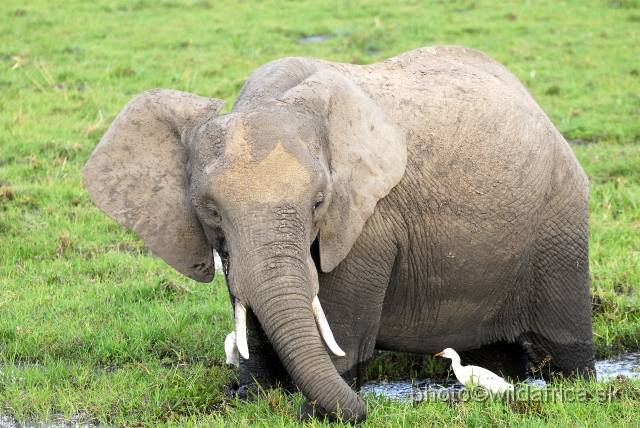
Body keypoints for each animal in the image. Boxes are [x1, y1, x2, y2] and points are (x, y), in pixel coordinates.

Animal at [84, 46, 596, 422]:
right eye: (210, 210)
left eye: (318, 203)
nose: (370, 411)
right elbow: (249, 307)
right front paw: (254, 402)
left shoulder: (366, 224)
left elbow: (342, 326)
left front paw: (311, 413)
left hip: (560, 220)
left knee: (566, 351)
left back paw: (581, 388)